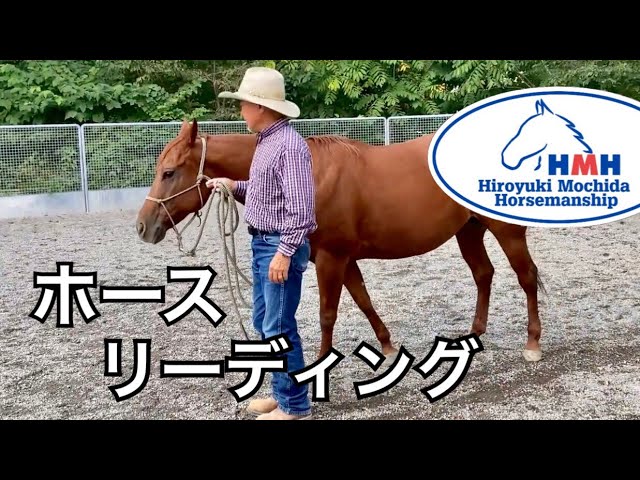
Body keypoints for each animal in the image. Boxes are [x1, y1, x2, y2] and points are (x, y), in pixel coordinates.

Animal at [136, 119, 545, 363]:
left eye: (169, 172)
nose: (142, 227)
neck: (306, 175)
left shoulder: (332, 258)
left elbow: (327, 314)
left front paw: (318, 366)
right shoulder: (341, 259)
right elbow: (364, 301)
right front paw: (388, 347)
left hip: (506, 231)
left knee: (526, 276)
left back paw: (532, 344)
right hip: (468, 230)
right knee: (483, 274)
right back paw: (474, 334)